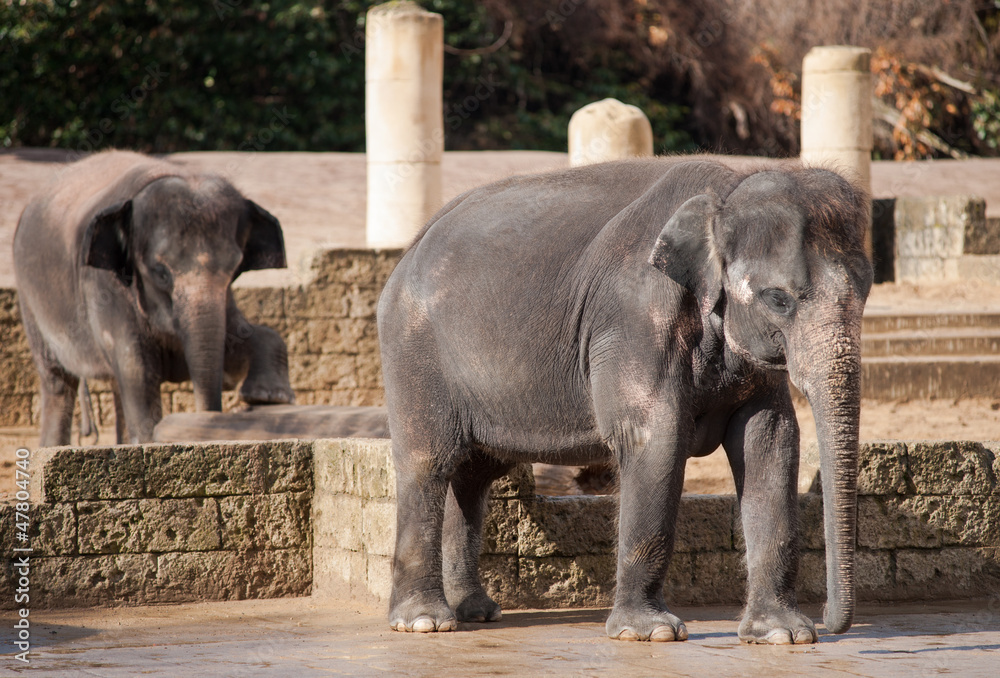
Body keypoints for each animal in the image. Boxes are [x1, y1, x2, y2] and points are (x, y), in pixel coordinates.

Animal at [13, 150, 295, 446]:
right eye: (160, 272)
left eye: (235, 268)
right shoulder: (105, 288)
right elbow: (137, 370)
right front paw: (149, 437)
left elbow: (242, 338)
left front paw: (269, 396)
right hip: (29, 298)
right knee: (57, 380)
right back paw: (53, 446)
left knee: (113, 385)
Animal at [376, 158, 873, 643]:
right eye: (778, 299)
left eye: (866, 290)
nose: (830, 621)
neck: (728, 189)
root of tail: (409, 250)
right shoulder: (634, 317)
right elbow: (656, 438)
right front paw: (650, 633)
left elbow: (769, 440)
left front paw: (783, 634)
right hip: (414, 349)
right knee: (429, 462)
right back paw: (424, 622)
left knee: (473, 475)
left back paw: (477, 612)